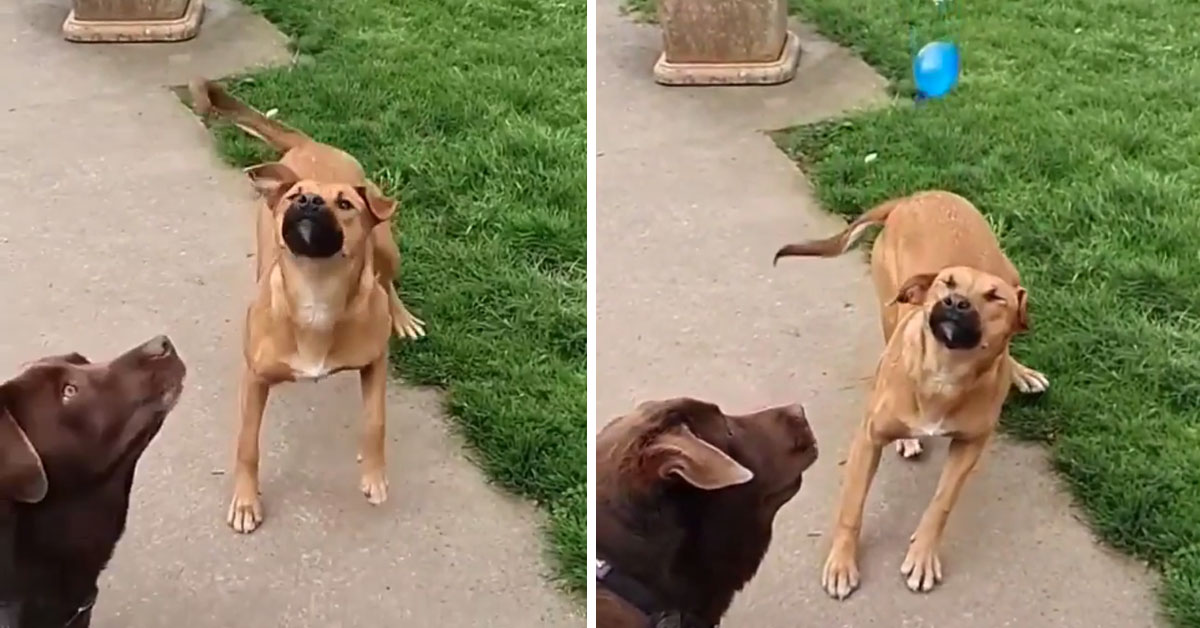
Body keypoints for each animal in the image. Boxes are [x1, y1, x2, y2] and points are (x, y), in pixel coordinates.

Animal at [189, 76, 424, 533]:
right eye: (295, 197)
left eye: (346, 204)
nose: (309, 202)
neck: (318, 290)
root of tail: (310, 144)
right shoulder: (255, 380)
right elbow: (247, 444)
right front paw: (246, 501)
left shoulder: (374, 363)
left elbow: (375, 420)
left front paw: (373, 476)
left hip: (387, 246)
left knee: (386, 280)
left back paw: (402, 317)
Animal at [772, 190, 1046, 600]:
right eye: (947, 283)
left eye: (995, 297)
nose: (956, 302)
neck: (946, 373)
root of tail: (918, 195)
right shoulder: (868, 440)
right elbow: (852, 508)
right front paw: (842, 563)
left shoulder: (970, 445)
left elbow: (940, 504)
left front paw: (922, 555)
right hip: (891, 306)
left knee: (1009, 346)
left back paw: (1020, 372)